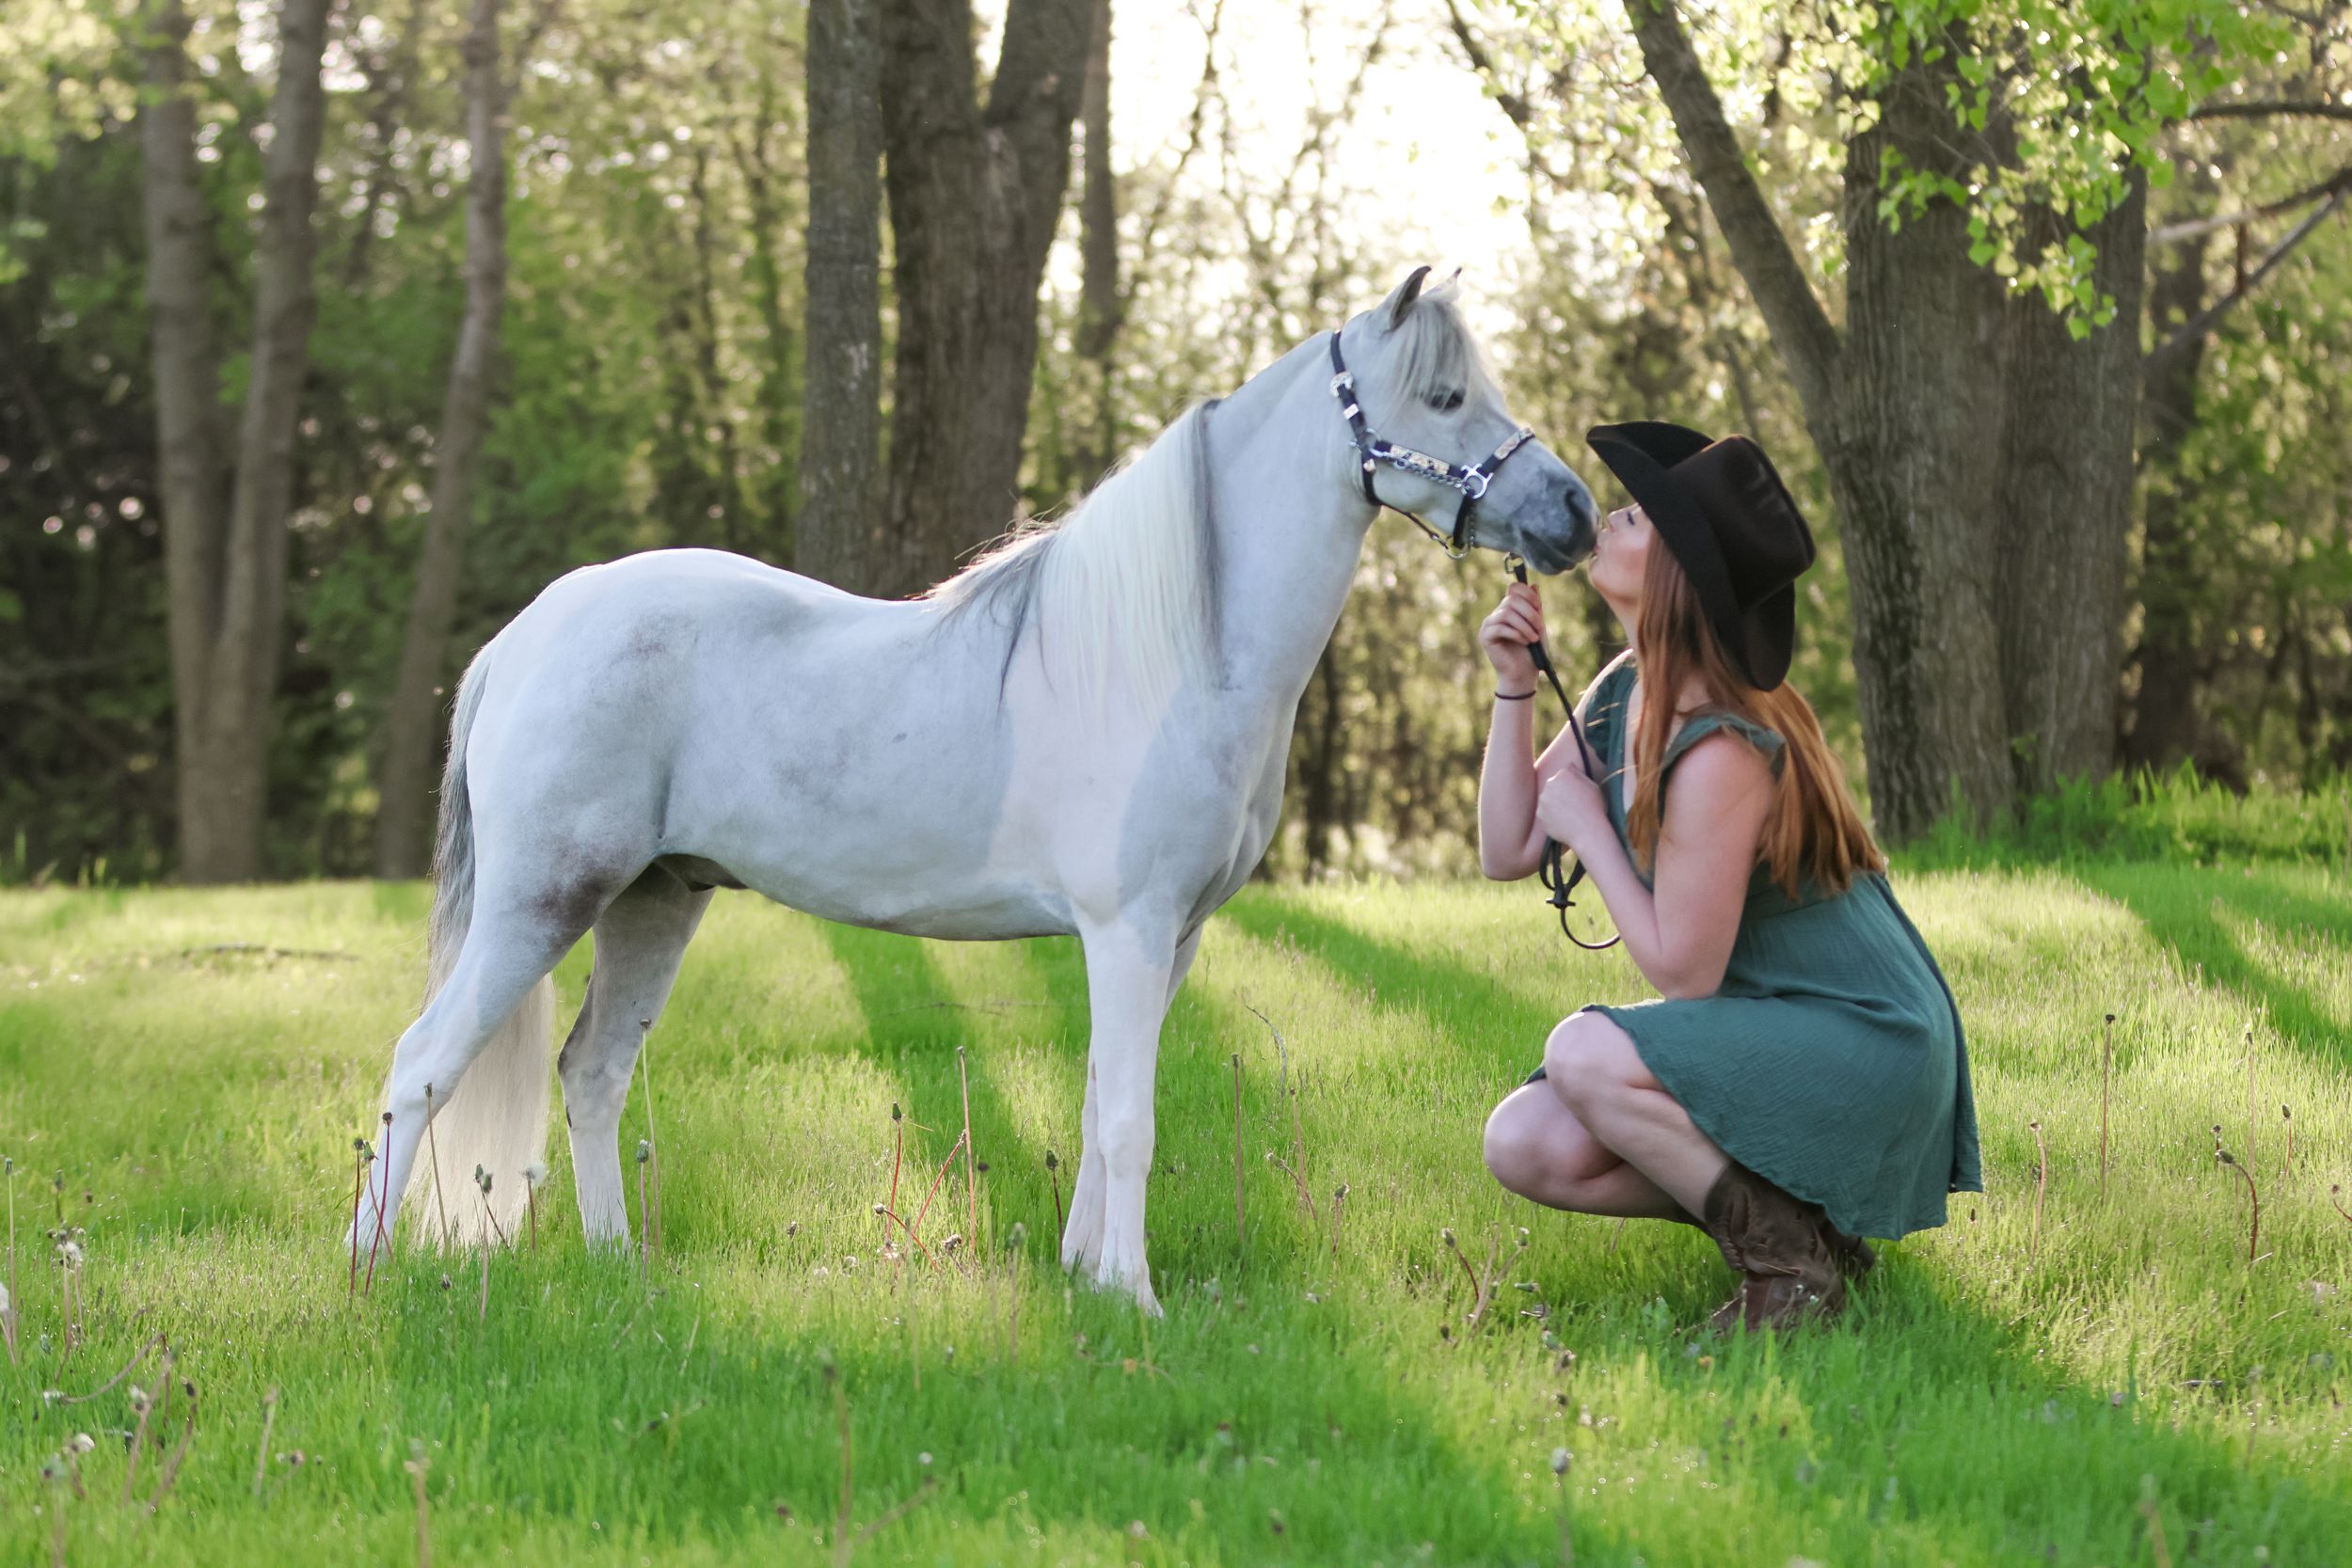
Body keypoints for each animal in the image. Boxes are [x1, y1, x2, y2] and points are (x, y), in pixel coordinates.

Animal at [351, 265, 1597, 1313]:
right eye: (1443, 395)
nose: (1574, 513)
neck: (1172, 653)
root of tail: (527, 632)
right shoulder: (1127, 927)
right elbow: (1130, 1116)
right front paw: (1135, 1298)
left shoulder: (1170, 937)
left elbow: (1096, 1103)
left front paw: (1088, 1275)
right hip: (543, 901)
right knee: (422, 1062)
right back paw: (367, 1269)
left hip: (657, 898)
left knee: (594, 1070)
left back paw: (620, 1267)